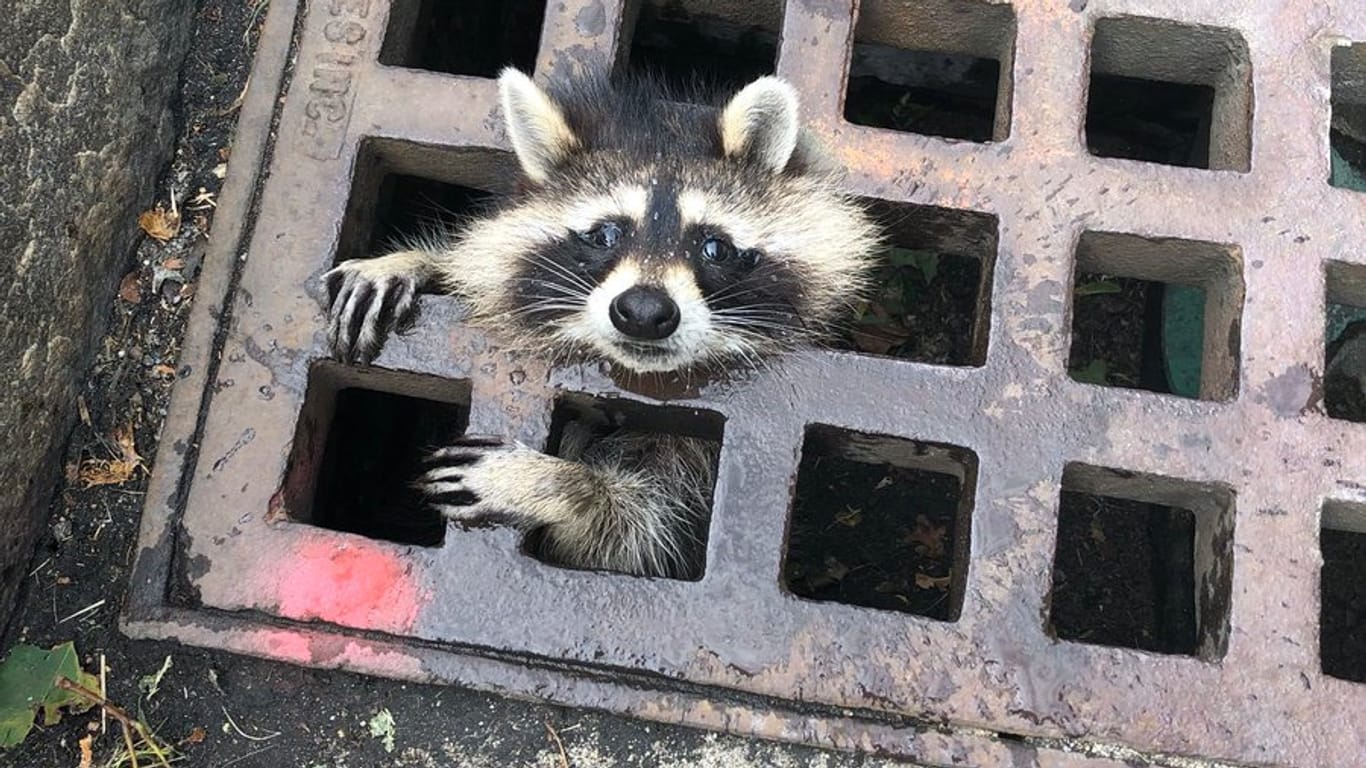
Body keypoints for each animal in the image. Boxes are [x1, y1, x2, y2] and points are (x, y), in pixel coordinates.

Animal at [330, 70, 885, 573]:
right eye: (605, 235)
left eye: (715, 247)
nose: (643, 312)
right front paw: (420, 262)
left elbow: (638, 530)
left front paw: (560, 485)